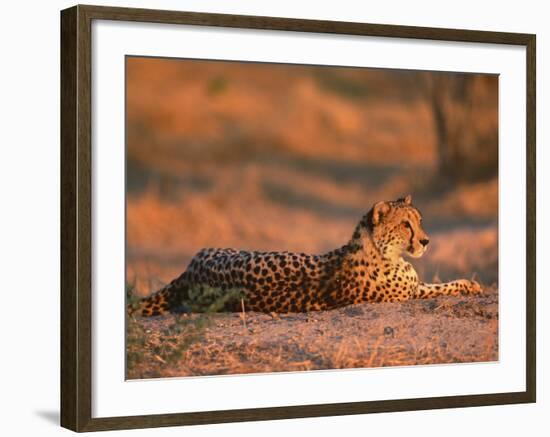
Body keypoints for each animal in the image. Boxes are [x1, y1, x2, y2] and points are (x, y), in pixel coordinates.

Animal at [128, 195, 484, 316]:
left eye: (419, 220)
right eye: (405, 225)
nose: (426, 241)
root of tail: (190, 270)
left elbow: (442, 284)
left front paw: (472, 284)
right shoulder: (410, 293)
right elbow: (444, 287)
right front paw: (472, 286)